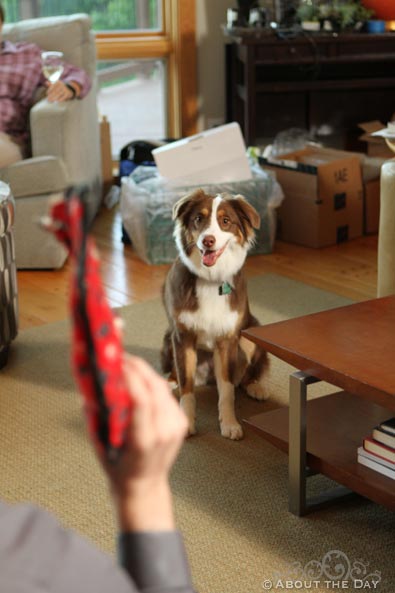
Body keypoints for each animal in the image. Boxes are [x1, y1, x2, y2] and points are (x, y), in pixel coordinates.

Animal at [161, 190, 270, 440]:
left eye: (225, 221)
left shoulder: (227, 339)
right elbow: (187, 387)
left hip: (249, 333)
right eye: (198, 219)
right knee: (176, 373)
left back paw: (256, 386)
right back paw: (167, 382)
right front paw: (187, 423)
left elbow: (227, 390)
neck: (210, 279)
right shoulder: (182, 337)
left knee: (249, 372)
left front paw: (229, 424)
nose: (207, 240)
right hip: (168, 337)